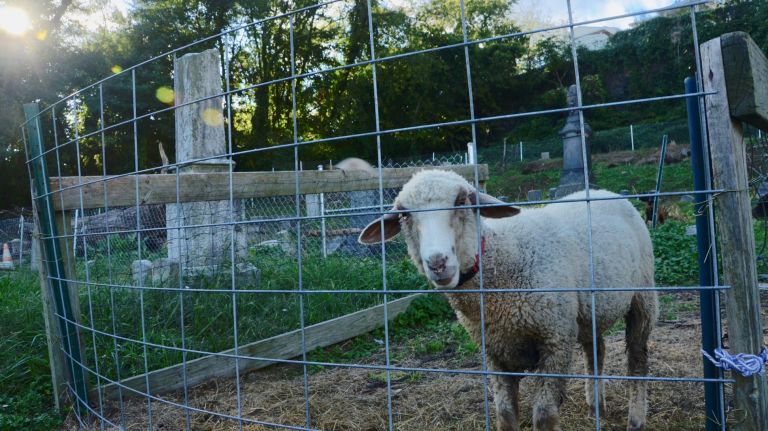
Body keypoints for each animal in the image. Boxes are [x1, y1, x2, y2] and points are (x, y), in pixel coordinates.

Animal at [358, 170, 657, 431]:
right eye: (404, 214)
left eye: (461, 201)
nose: (438, 262)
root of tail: (602, 192)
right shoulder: (495, 351)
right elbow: (504, 415)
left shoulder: (556, 340)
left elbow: (544, 417)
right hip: (587, 311)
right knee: (597, 348)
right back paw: (596, 407)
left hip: (643, 295)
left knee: (637, 359)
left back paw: (636, 420)